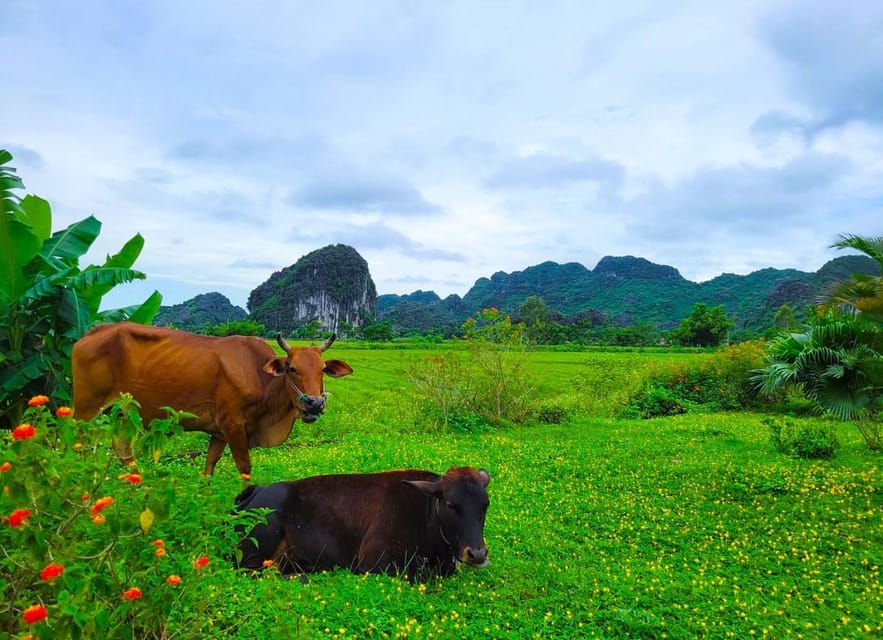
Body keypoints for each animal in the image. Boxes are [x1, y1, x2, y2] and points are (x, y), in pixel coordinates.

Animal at [71, 322, 352, 478]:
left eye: (322, 369)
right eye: (292, 368)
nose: (314, 403)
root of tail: (92, 332)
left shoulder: (219, 431)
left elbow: (209, 466)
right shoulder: (234, 426)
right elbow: (245, 467)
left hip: (122, 413)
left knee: (123, 450)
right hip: (86, 411)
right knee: (80, 449)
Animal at [233, 464, 490, 580]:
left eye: (485, 504)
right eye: (451, 505)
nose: (477, 553)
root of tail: (258, 489)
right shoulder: (373, 561)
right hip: (255, 546)